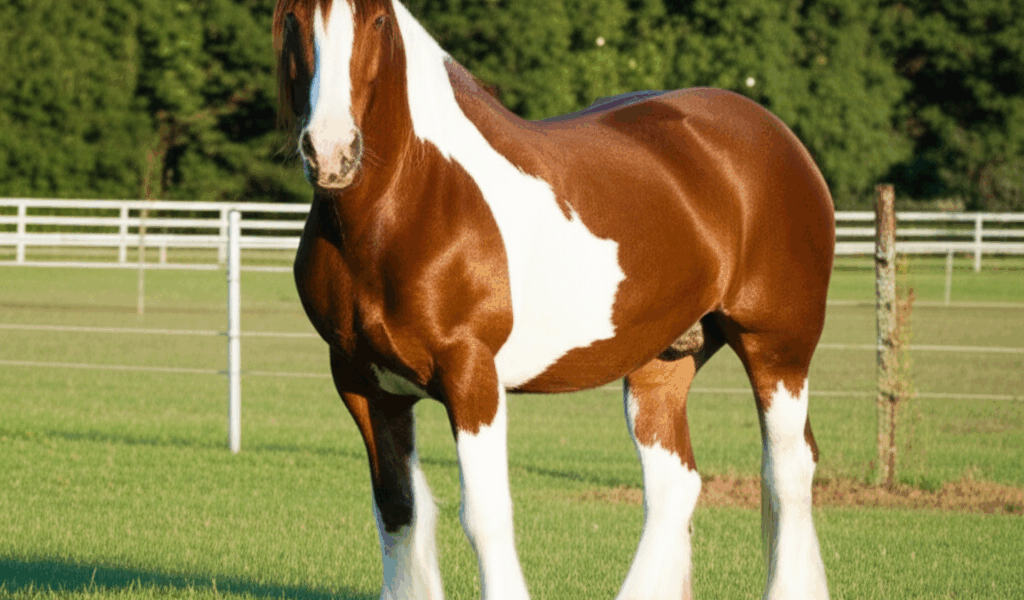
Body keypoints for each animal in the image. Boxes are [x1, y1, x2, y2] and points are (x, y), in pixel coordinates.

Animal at [273, 1, 835, 599]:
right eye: (294, 18)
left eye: (377, 21)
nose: (331, 151)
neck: (420, 198)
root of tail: (778, 137)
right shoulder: (365, 385)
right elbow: (398, 512)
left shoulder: (472, 378)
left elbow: (485, 516)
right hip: (662, 362)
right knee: (674, 485)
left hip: (777, 349)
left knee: (789, 474)